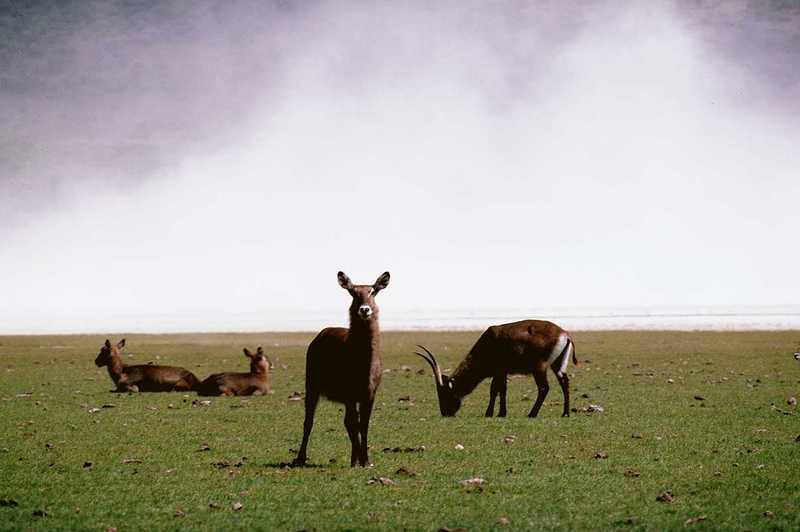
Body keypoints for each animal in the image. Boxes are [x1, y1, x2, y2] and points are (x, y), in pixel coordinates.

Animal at [294, 272, 394, 468]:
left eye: (373, 291)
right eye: (353, 292)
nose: (364, 310)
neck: (364, 366)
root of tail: (321, 334)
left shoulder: (369, 394)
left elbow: (364, 425)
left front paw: (365, 460)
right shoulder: (350, 394)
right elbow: (354, 424)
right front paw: (361, 460)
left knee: (349, 422)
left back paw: (354, 459)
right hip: (312, 386)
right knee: (309, 420)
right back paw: (300, 458)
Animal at [416, 322, 580, 418]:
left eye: (445, 394)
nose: (445, 413)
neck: (489, 340)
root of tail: (564, 334)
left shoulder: (500, 370)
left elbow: (495, 390)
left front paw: (491, 413)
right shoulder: (501, 372)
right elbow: (501, 390)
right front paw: (501, 413)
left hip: (539, 368)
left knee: (544, 388)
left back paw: (532, 414)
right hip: (557, 366)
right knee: (564, 382)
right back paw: (565, 413)